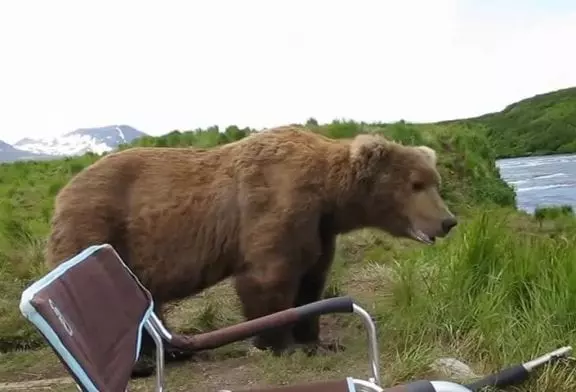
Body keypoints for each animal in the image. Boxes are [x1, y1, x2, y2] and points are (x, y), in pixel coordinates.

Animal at [44, 125, 460, 376]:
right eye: (416, 184)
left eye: (434, 181)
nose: (447, 221)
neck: (329, 197)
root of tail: (62, 192)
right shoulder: (275, 206)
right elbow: (269, 277)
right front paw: (278, 345)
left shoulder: (319, 230)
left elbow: (312, 280)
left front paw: (317, 339)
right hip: (98, 228)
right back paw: (142, 363)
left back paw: (173, 351)